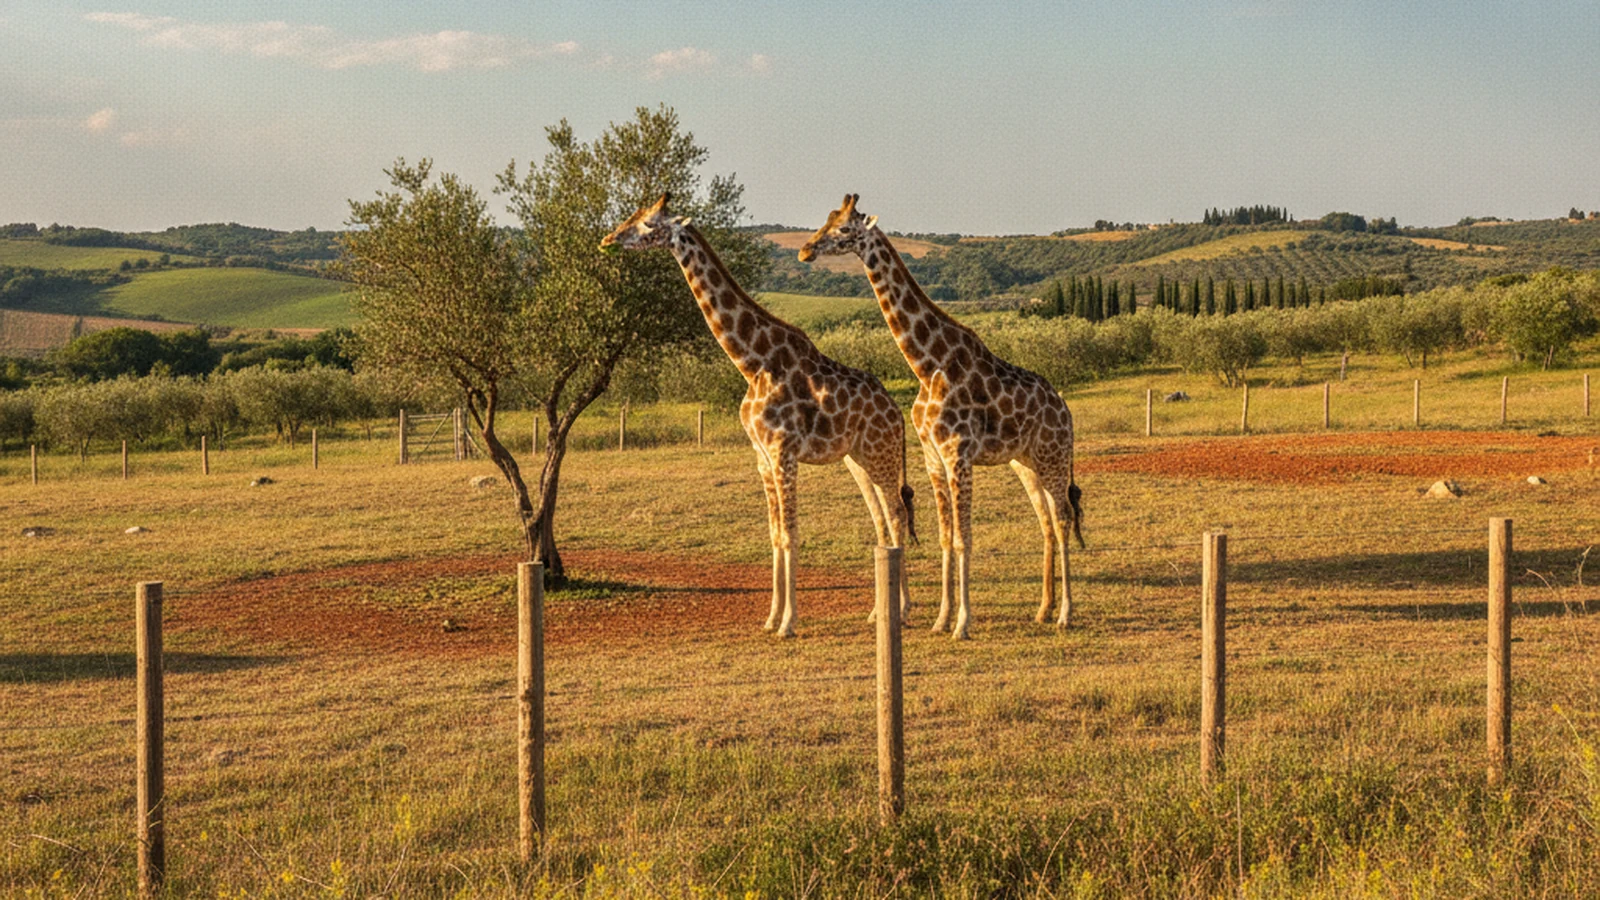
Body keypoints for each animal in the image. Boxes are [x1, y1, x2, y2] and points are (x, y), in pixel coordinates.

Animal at [601, 193, 914, 638]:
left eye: (648, 223)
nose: (608, 240)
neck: (752, 363)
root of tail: (897, 413)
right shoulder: (762, 457)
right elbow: (773, 535)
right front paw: (770, 619)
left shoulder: (783, 452)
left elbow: (791, 533)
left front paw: (788, 623)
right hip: (859, 460)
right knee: (883, 520)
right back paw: (878, 612)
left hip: (881, 455)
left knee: (898, 515)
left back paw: (901, 611)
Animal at [800, 194, 1083, 640]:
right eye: (825, 220)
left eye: (844, 228)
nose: (805, 250)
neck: (926, 365)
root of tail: (1066, 410)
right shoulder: (933, 457)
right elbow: (946, 537)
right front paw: (941, 619)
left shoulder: (957, 455)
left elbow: (965, 537)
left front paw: (962, 623)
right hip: (1027, 462)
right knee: (1046, 523)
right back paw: (1043, 609)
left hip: (1054, 457)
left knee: (1063, 518)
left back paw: (1066, 614)